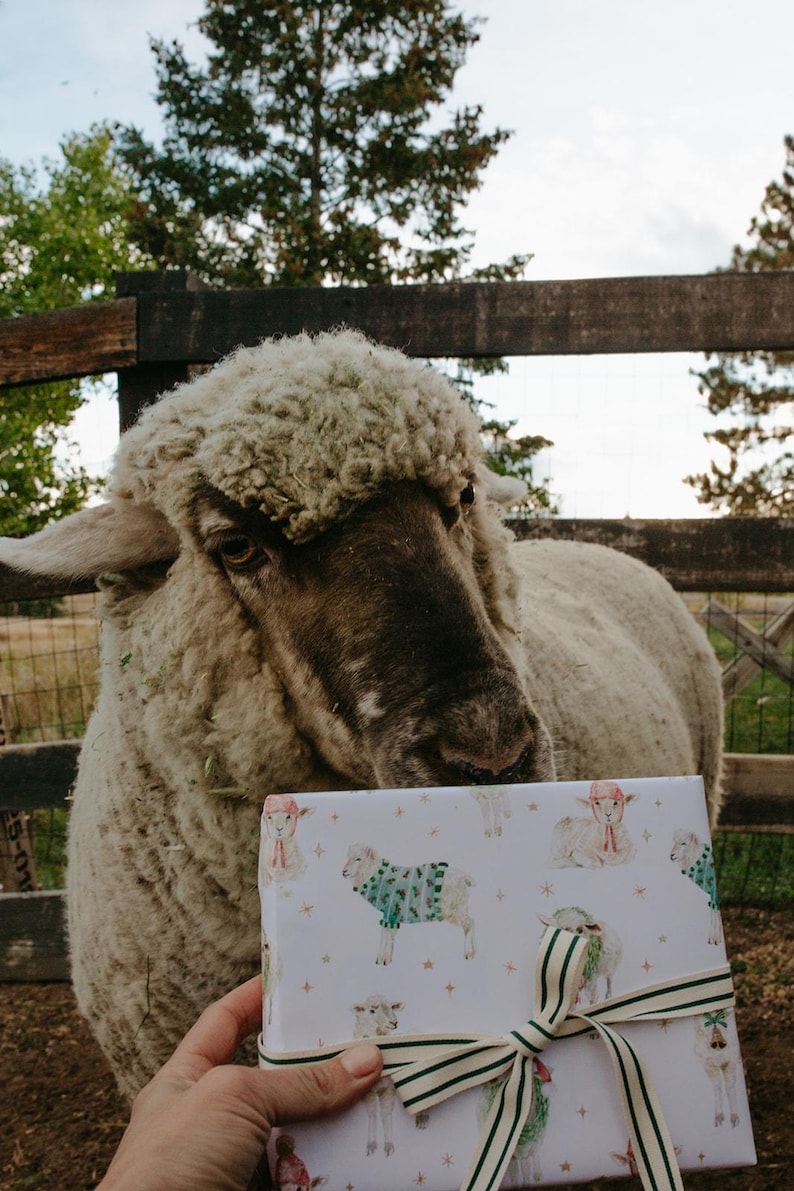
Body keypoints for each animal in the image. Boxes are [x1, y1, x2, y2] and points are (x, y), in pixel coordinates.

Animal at [342, 843, 476, 965]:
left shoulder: (390, 912)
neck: (375, 875)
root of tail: (466, 878)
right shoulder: (390, 914)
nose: (344, 872)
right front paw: (382, 959)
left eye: (359, 859)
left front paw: (383, 960)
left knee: (469, 923)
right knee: (470, 923)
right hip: (460, 907)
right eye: (348, 857)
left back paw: (469, 954)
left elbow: (387, 935)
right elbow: (386, 934)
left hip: (453, 908)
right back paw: (474, 952)